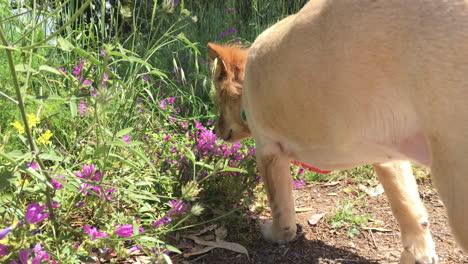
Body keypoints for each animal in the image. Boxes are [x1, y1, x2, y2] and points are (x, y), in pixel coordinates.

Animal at [209, 1, 468, 262]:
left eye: (218, 100)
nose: (214, 129)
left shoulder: (268, 152)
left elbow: (281, 211)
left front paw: (275, 234)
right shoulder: (389, 161)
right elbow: (411, 212)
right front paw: (418, 254)